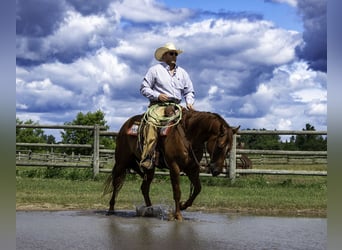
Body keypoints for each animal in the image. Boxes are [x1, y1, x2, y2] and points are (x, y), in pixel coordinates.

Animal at [103, 109, 239, 221]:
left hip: (149, 169)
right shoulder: (174, 167)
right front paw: (178, 215)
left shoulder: (192, 168)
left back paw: (150, 210)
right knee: (116, 183)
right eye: (220, 146)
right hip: (121, 162)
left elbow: (198, 188)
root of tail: (126, 125)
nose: (216, 170)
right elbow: (177, 191)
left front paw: (183, 206)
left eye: (229, 149)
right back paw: (111, 209)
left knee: (144, 188)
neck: (189, 135)